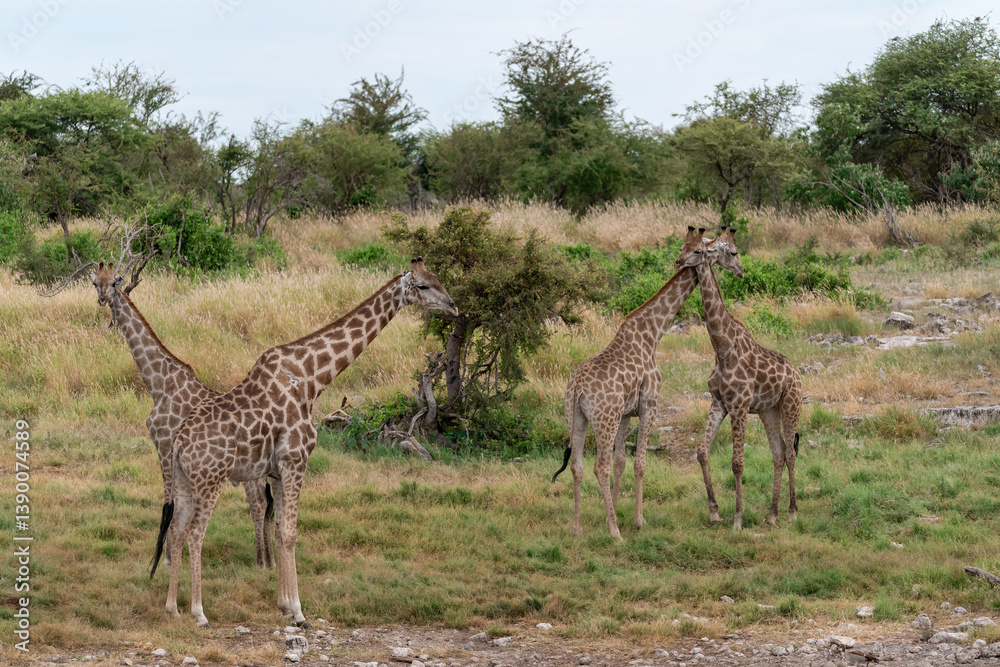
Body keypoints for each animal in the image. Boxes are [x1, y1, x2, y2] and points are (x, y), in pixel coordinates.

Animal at [92, 262, 275, 568]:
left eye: (115, 282)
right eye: (95, 282)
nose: (103, 300)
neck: (158, 383)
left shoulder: (165, 444)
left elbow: (169, 503)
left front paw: (166, 559)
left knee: (259, 502)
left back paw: (262, 563)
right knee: (263, 501)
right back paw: (267, 561)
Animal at [150, 258, 458, 628]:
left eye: (438, 278)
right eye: (423, 286)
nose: (453, 306)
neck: (313, 379)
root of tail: (179, 443)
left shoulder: (277, 470)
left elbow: (279, 529)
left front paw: (283, 604)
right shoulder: (296, 460)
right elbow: (290, 533)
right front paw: (298, 612)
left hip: (183, 479)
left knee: (177, 530)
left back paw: (172, 607)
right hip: (212, 479)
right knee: (195, 533)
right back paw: (199, 612)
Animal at [552, 228, 744, 539]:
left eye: (690, 248)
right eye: (732, 251)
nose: (740, 271)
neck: (652, 333)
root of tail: (577, 388)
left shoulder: (625, 414)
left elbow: (621, 462)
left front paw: (613, 512)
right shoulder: (649, 405)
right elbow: (640, 463)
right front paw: (636, 520)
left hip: (576, 417)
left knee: (578, 466)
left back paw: (577, 528)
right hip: (603, 419)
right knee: (599, 466)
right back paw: (615, 534)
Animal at [674, 227, 803, 530]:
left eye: (698, 250)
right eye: (682, 246)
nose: (678, 262)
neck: (722, 349)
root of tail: (798, 374)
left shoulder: (740, 406)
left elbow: (737, 463)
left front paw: (738, 518)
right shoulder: (719, 403)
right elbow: (702, 451)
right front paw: (714, 512)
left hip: (792, 404)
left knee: (791, 452)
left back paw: (792, 511)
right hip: (769, 411)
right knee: (779, 453)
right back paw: (772, 514)